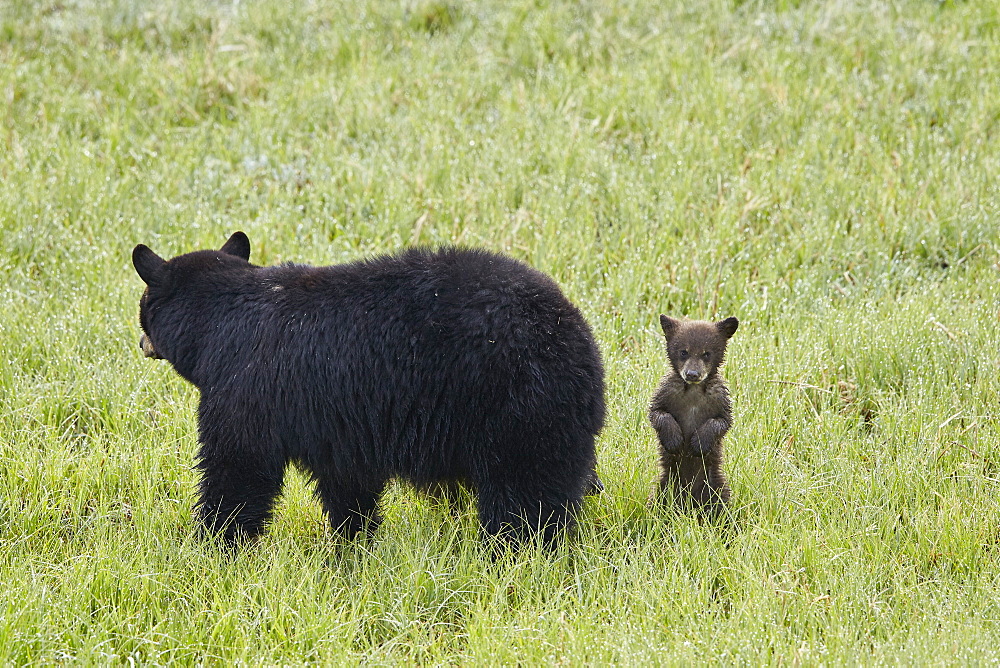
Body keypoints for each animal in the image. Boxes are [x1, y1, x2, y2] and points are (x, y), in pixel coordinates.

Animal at [131, 232, 600, 544]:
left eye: (142, 309)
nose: (140, 343)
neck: (220, 321)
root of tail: (578, 341)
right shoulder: (339, 422)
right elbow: (347, 483)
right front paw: (351, 543)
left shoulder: (246, 386)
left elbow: (237, 468)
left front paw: (216, 544)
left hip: (516, 409)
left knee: (525, 501)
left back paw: (516, 553)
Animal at [644, 316, 740, 516]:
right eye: (683, 352)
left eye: (706, 353)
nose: (692, 374)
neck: (694, 390)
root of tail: (690, 502)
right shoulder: (667, 392)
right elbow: (657, 413)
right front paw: (674, 440)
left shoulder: (719, 398)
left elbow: (722, 421)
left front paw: (699, 443)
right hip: (665, 486)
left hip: (715, 486)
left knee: (720, 505)